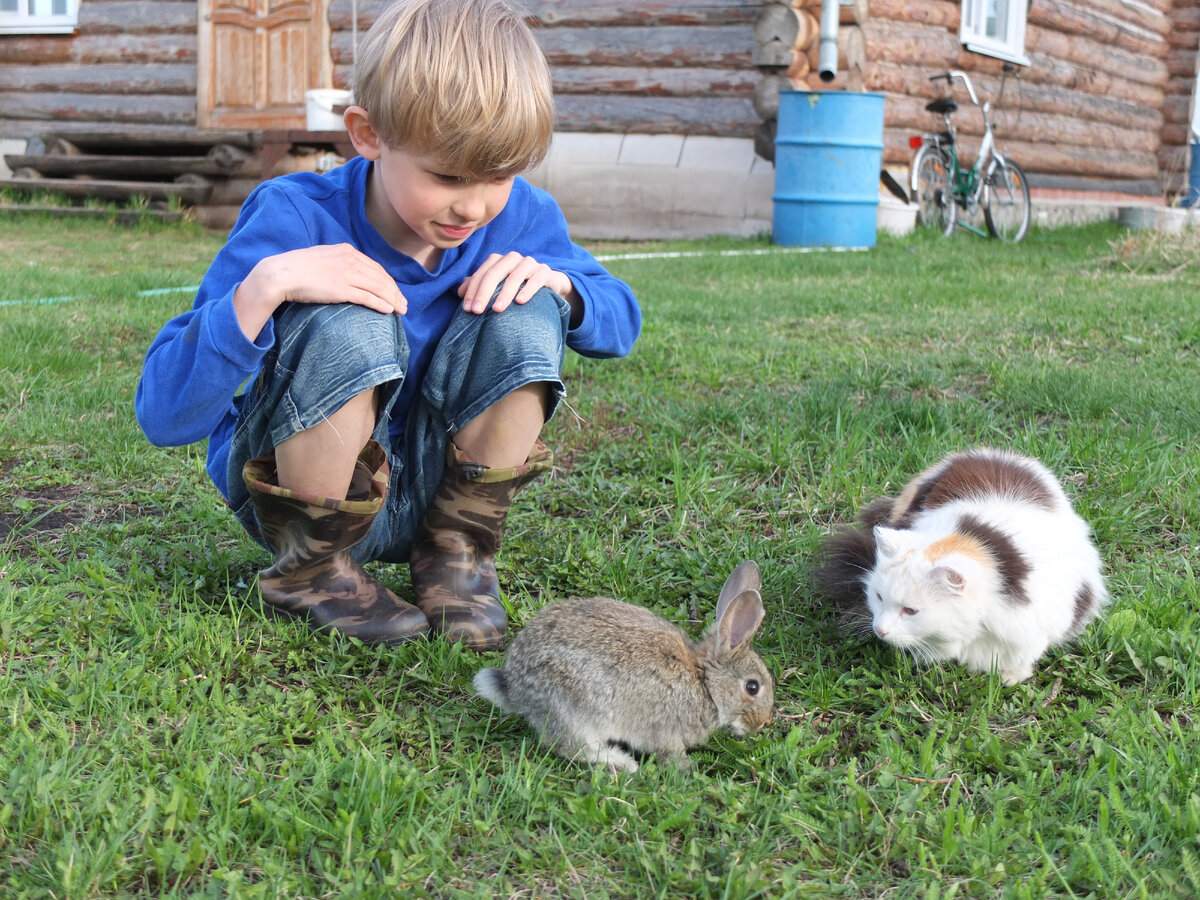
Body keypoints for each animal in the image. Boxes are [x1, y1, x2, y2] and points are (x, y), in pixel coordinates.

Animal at [472, 561, 772, 772]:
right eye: (752, 687)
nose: (763, 723)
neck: (704, 682)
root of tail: (514, 688)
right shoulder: (666, 731)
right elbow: (671, 753)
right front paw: (686, 769)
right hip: (573, 708)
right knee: (571, 747)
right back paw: (622, 762)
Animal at [816, 448, 1104, 686]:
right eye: (878, 597)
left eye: (911, 610)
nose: (879, 630)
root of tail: (994, 452)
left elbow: (1025, 654)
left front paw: (1010, 677)